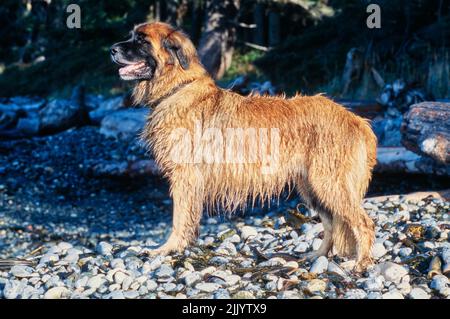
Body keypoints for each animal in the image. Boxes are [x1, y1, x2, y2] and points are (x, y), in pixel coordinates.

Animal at [110, 21, 378, 272]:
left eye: (142, 41)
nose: (112, 50)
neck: (178, 86)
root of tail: (356, 120)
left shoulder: (184, 177)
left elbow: (179, 218)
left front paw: (168, 248)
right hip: (312, 186)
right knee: (331, 223)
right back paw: (317, 255)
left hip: (330, 183)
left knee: (364, 223)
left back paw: (361, 262)